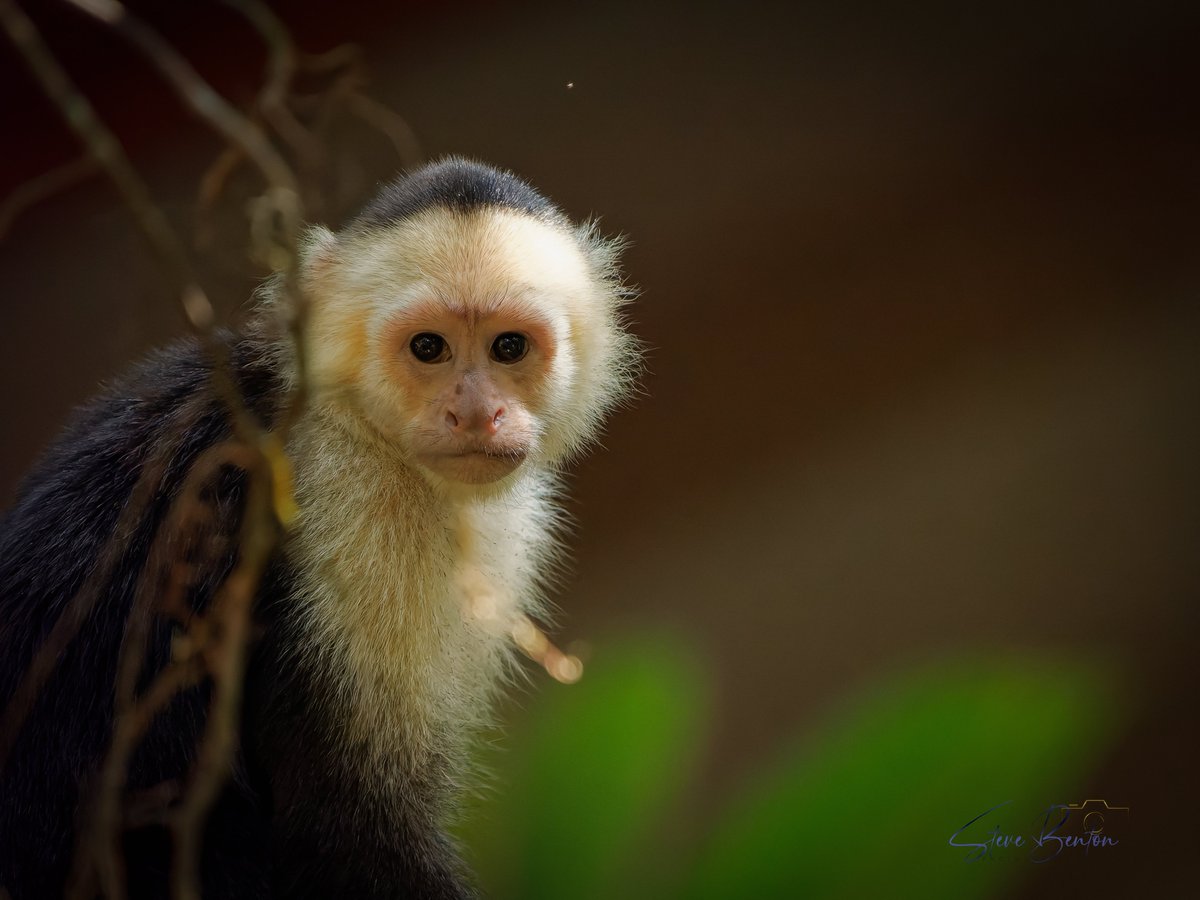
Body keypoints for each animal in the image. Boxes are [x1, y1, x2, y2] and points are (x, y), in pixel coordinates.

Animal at [0, 158, 638, 899]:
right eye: (429, 347)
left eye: (509, 346)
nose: (477, 413)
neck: (350, 418)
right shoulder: (347, 496)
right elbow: (342, 827)